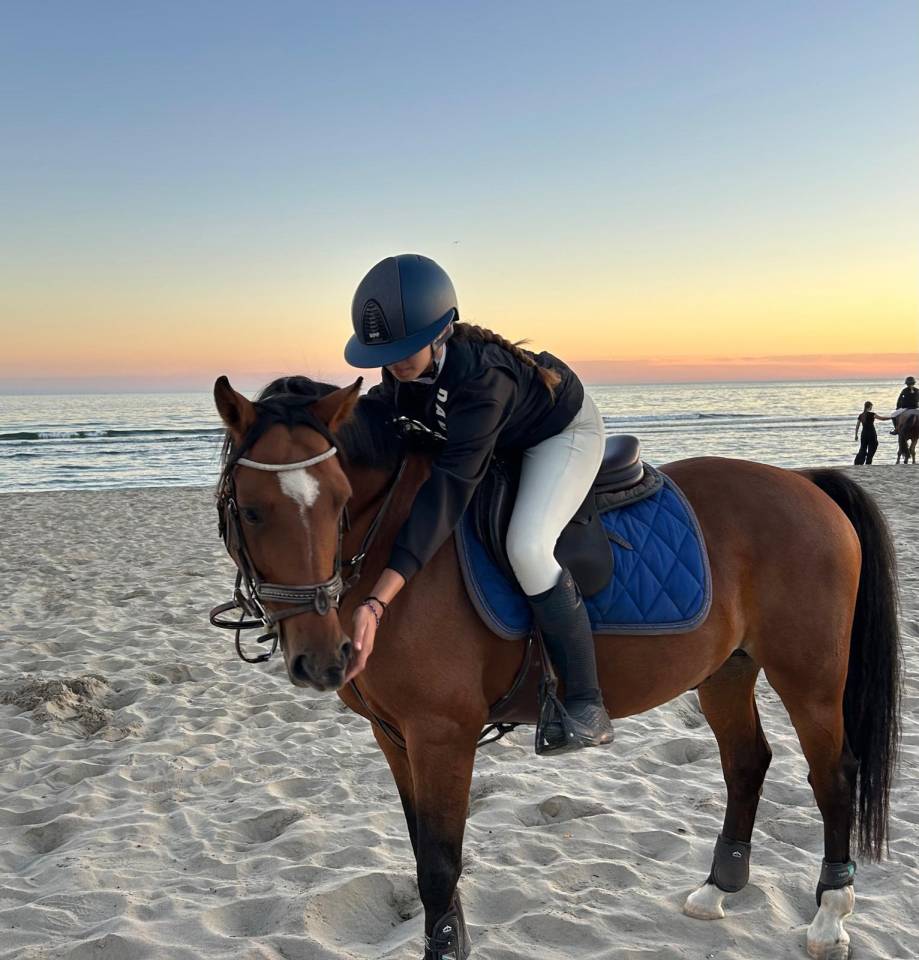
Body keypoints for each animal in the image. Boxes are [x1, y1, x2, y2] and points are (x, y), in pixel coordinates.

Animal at [210, 375, 900, 960]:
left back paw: (830, 915)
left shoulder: (441, 735)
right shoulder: (394, 735)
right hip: (726, 671)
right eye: (252, 509)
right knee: (747, 761)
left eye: (342, 501)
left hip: (809, 678)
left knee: (833, 774)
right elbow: (424, 851)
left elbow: (439, 862)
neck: (401, 549)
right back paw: (718, 887)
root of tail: (805, 483)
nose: (324, 657)